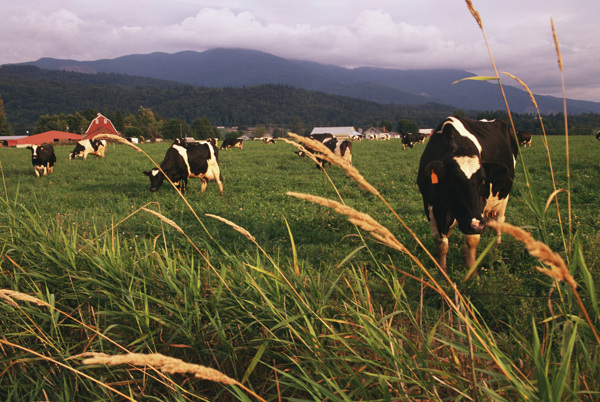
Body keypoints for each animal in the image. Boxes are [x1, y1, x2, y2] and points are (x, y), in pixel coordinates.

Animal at [414, 116, 516, 274]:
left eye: (483, 180)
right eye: (454, 181)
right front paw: (442, 272)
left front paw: (471, 270)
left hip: (505, 195)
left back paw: (497, 243)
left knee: (500, 219)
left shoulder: (478, 207)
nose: (477, 226)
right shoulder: (431, 205)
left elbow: (471, 240)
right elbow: (441, 244)